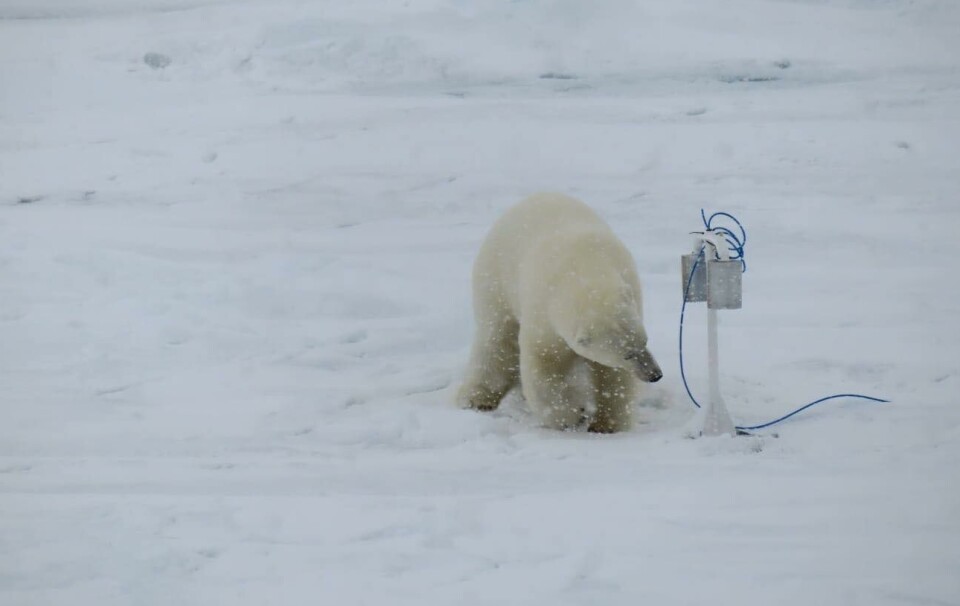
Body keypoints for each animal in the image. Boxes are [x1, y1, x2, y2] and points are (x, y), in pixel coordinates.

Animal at [458, 192, 662, 433]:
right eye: (627, 354)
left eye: (645, 341)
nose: (655, 374)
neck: (586, 268)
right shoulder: (542, 313)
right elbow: (544, 365)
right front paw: (572, 415)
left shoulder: (629, 285)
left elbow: (612, 375)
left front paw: (605, 424)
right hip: (495, 279)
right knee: (497, 339)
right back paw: (475, 399)